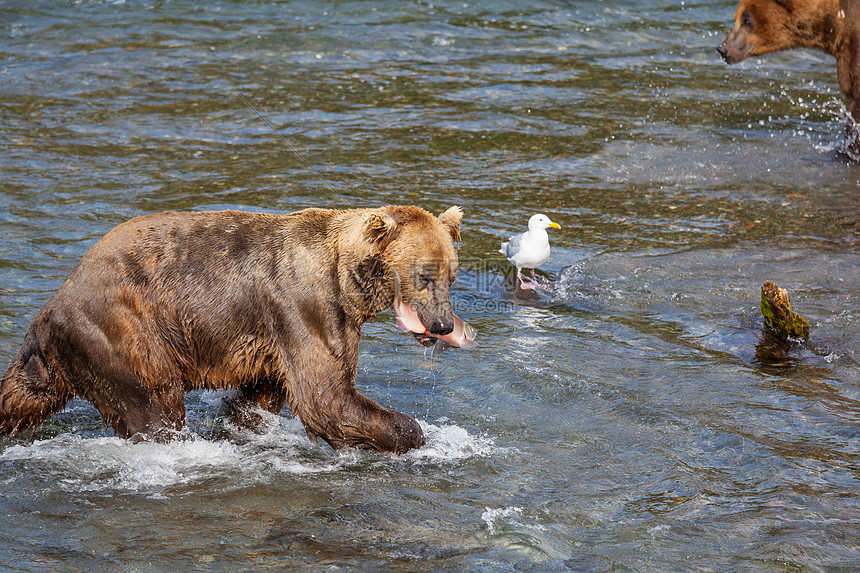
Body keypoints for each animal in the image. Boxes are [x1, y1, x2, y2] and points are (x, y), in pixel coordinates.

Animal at [0, 203, 464, 454]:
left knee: (21, 396)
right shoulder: (305, 307)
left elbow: (260, 398)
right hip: (122, 329)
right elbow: (325, 397)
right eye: (424, 274)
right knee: (154, 403)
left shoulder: (275, 340)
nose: (443, 324)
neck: (347, 278)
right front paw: (417, 433)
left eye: (452, 275)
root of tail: (52, 305)